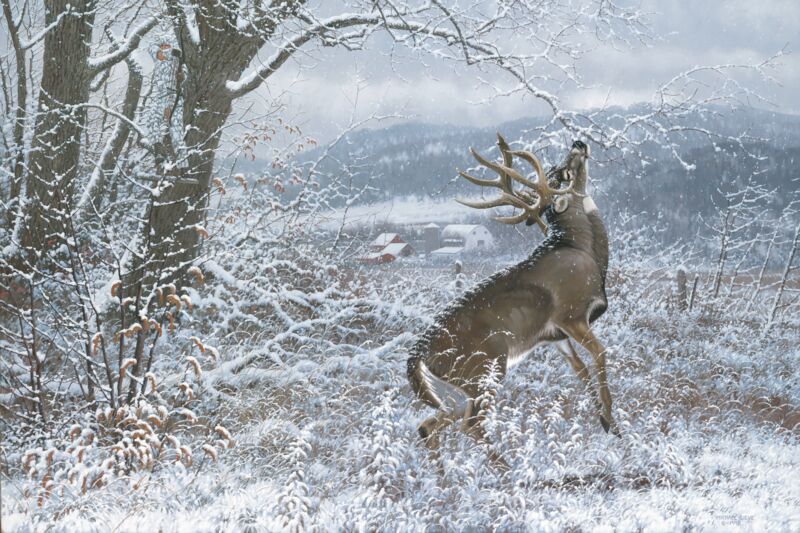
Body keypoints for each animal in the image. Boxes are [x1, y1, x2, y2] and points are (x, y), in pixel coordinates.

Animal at [407, 136, 618, 470]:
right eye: (561, 175)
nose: (578, 142)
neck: (581, 248)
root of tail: (418, 354)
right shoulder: (571, 314)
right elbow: (599, 353)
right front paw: (612, 420)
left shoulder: (555, 337)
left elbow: (581, 372)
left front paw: (606, 423)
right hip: (484, 366)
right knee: (469, 424)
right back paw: (509, 471)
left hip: (455, 387)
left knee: (429, 423)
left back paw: (443, 477)